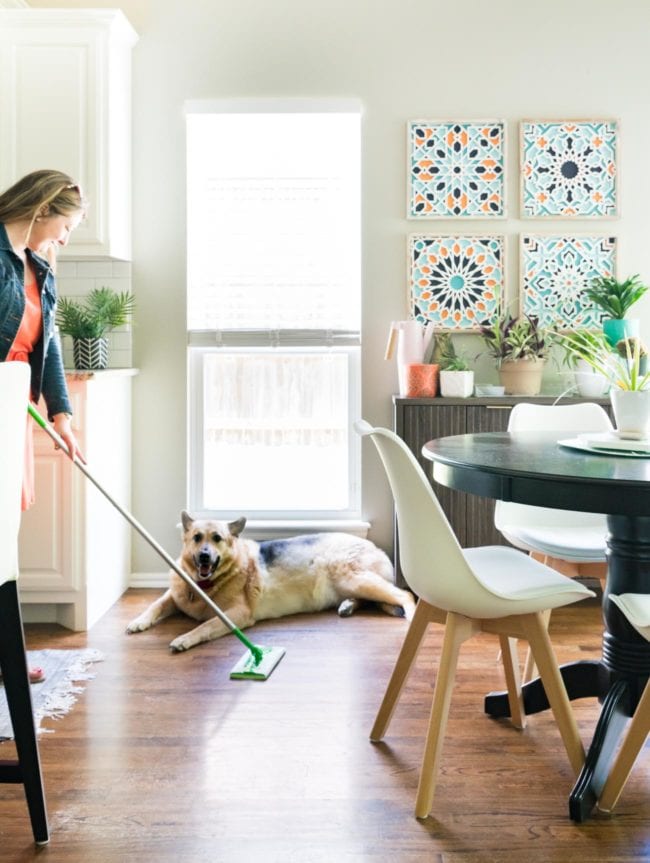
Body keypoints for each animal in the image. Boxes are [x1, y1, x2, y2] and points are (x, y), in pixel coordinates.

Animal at [125, 510, 416, 652]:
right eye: (197, 538)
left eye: (217, 538)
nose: (205, 556)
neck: (203, 585)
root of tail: (375, 547)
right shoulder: (173, 597)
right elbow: (154, 605)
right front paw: (139, 621)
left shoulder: (236, 613)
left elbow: (203, 626)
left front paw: (184, 638)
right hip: (352, 582)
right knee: (373, 599)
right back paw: (348, 606)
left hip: (353, 577)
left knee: (404, 595)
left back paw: (410, 614)